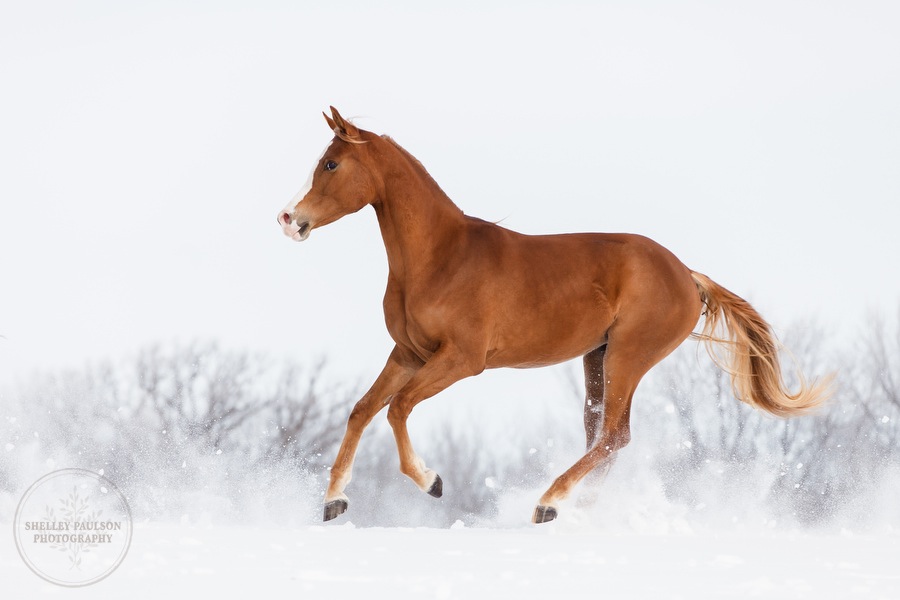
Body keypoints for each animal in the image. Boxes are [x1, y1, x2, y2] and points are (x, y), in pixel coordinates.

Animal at [276, 105, 828, 524]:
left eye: (331, 164)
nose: (288, 219)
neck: (441, 258)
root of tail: (688, 275)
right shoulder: (410, 353)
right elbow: (363, 409)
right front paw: (334, 501)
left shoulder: (461, 360)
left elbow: (397, 408)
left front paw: (431, 482)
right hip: (597, 360)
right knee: (602, 438)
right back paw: (575, 507)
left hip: (628, 356)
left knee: (613, 437)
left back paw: (548, 504)